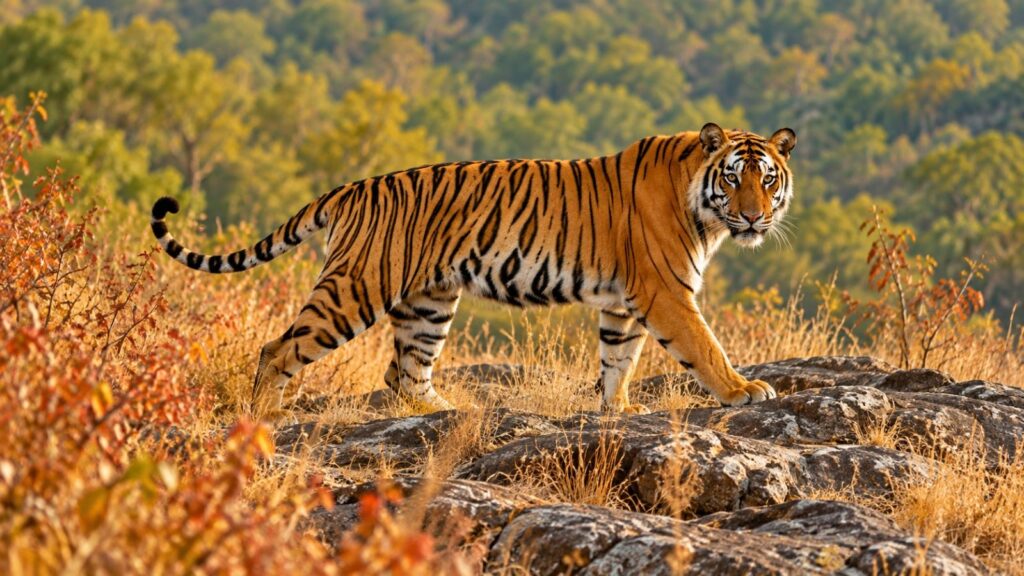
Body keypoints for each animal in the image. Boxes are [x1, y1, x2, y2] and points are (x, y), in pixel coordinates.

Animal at [150, 122, 796, 414]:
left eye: (767, 180)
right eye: (733, 178)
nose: (754, 217)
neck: (702, 209)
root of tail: (354, 187)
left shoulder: (624, 302)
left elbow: (619, 358)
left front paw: (617, 409)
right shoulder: (666, 292)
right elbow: (704, 347)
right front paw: (744, 389)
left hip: (430, 302)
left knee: (404, 373)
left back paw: (443, 411)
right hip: (355, 289)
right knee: (278, 349)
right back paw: (265, 414)